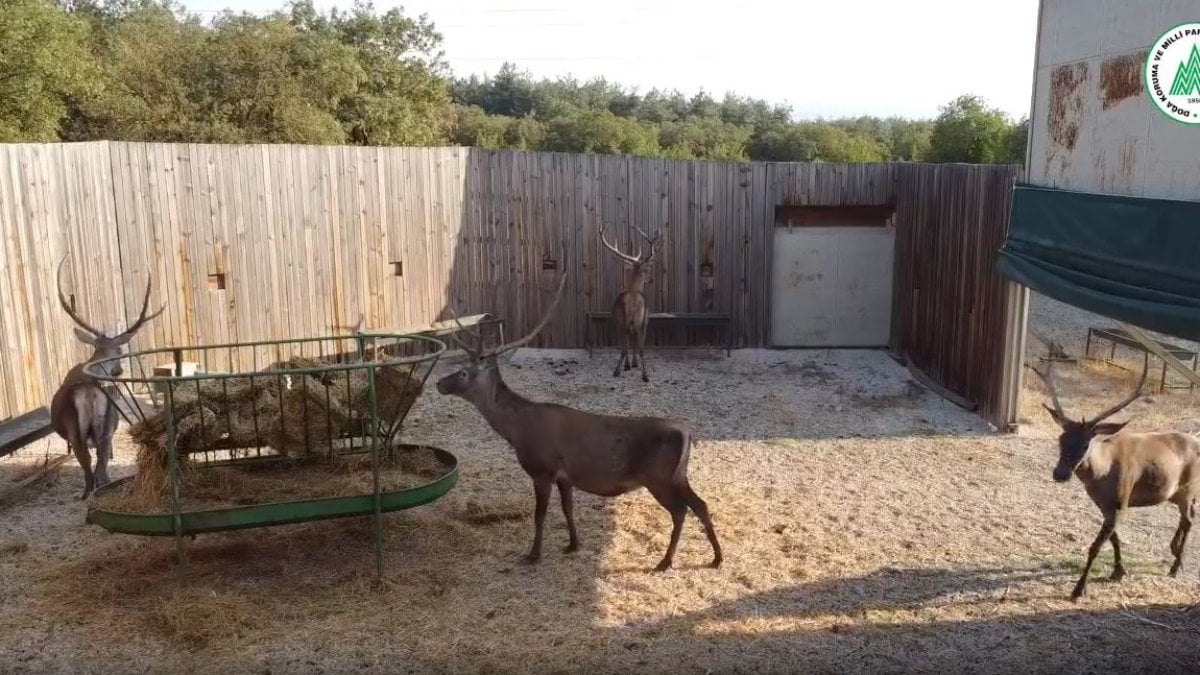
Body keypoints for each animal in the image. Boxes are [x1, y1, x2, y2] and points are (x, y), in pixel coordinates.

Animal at [51, 254, 165, 497]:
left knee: (91, 470)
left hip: (81, 431)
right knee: (98, 467)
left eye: (119, 350)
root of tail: (90, 391)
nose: (117, 371)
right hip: (103, 427)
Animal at [441, 270, 720, 569]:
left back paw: (666, 561)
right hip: (679, 475)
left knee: (680, 510)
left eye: (463, 373)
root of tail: (688, 434)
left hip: (658, 477)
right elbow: (568, 509)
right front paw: (573, 544)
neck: (516, 431)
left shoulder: (543, 469)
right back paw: (717, 557)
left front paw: (533, 554)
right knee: (701, 504)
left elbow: (540, 515)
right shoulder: (565, 476)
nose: (438, 383)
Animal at [600, 220, 667, 379]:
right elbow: (637, 344)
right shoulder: (646, 320)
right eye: (646, 270)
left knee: (624, 345)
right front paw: (635, 364)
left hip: (618, 320)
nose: (650, 279)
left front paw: (629, 364)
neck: (635, 288)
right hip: (638, 319)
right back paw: (645, 375)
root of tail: (629, 302)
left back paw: (618, 370)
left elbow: (629, 342)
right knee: (639, 345)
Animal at [1027, 357, 1200, 598]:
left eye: (1085, 444)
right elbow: (1115, 538)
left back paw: (1176, 566)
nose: (1060, 474)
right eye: (1060, 439)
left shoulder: (1121, 501)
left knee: (1190, 519)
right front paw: (1118, 571)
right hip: (1175, 493)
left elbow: (1096, 546)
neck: (1102, 474)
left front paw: (1079, 589)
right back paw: (1174, 550)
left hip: (1189, 487)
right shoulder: (1104, 505)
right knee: (1185, 518)